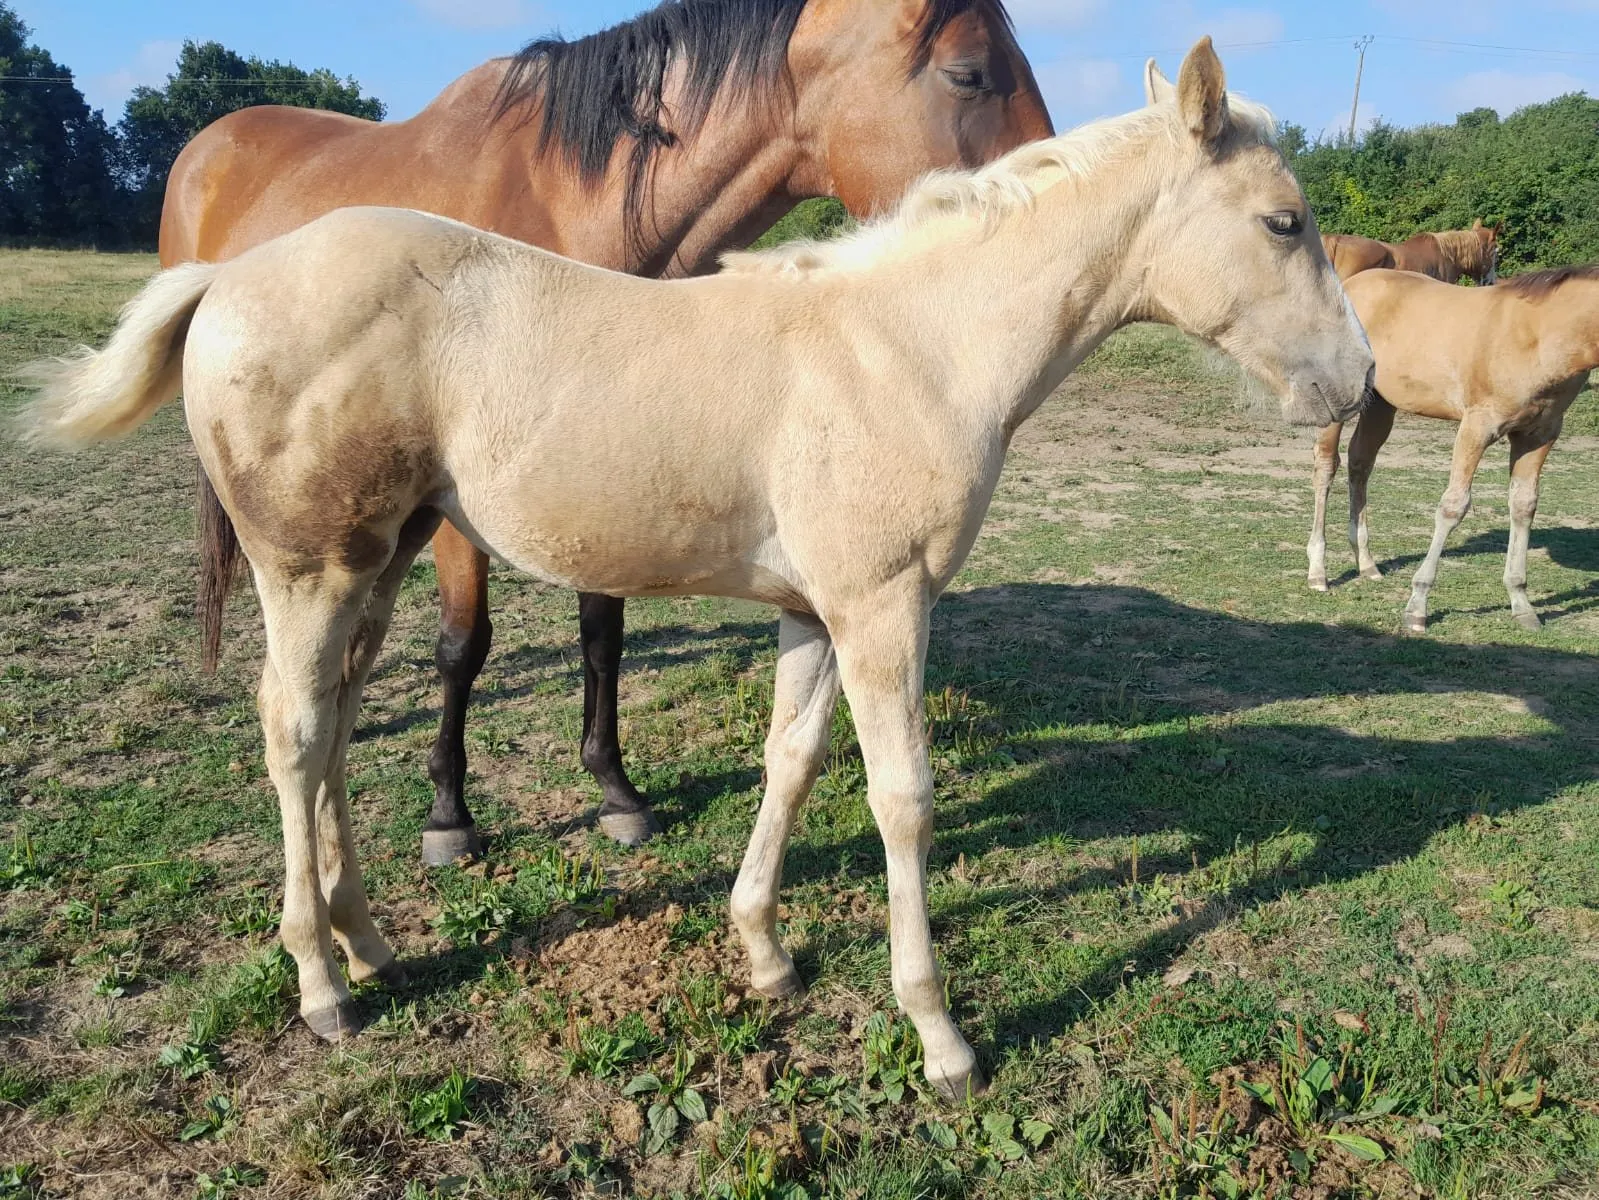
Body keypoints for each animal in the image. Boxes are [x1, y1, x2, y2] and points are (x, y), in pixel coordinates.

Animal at [160, 0, 1053, 862]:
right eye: (968, 74)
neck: (565, 205)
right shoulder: (461, 509)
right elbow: (462, 644)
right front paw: (449, 812)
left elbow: (603, 635)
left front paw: (615, 790)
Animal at [1305, 264, 1596, 632]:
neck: (1539, 334)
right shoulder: (1477, 427)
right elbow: (1453, 506)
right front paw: (1417, 606)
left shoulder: (1539, 434)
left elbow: (1523, 505)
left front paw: (1521, 604)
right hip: (1336, 400)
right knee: (1326, 466)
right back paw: (1318, 572)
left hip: (1381, 405)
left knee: (1361, 463)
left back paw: (1367, 564)